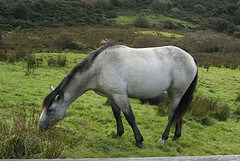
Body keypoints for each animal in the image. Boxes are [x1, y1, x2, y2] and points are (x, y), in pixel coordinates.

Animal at [38, 43, 198, 148]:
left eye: (50, 110)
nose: (40, 127)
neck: (98, 69)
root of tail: (191, 58)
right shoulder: (111, 96)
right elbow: (117, 115)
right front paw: (118, 134)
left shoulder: (120, 96)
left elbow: (130, 117)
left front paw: (139, 141)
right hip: (177, 94)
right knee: (179, 113)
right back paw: (176, 136)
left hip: (176, 93)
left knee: (172, 114)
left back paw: (163, 138)